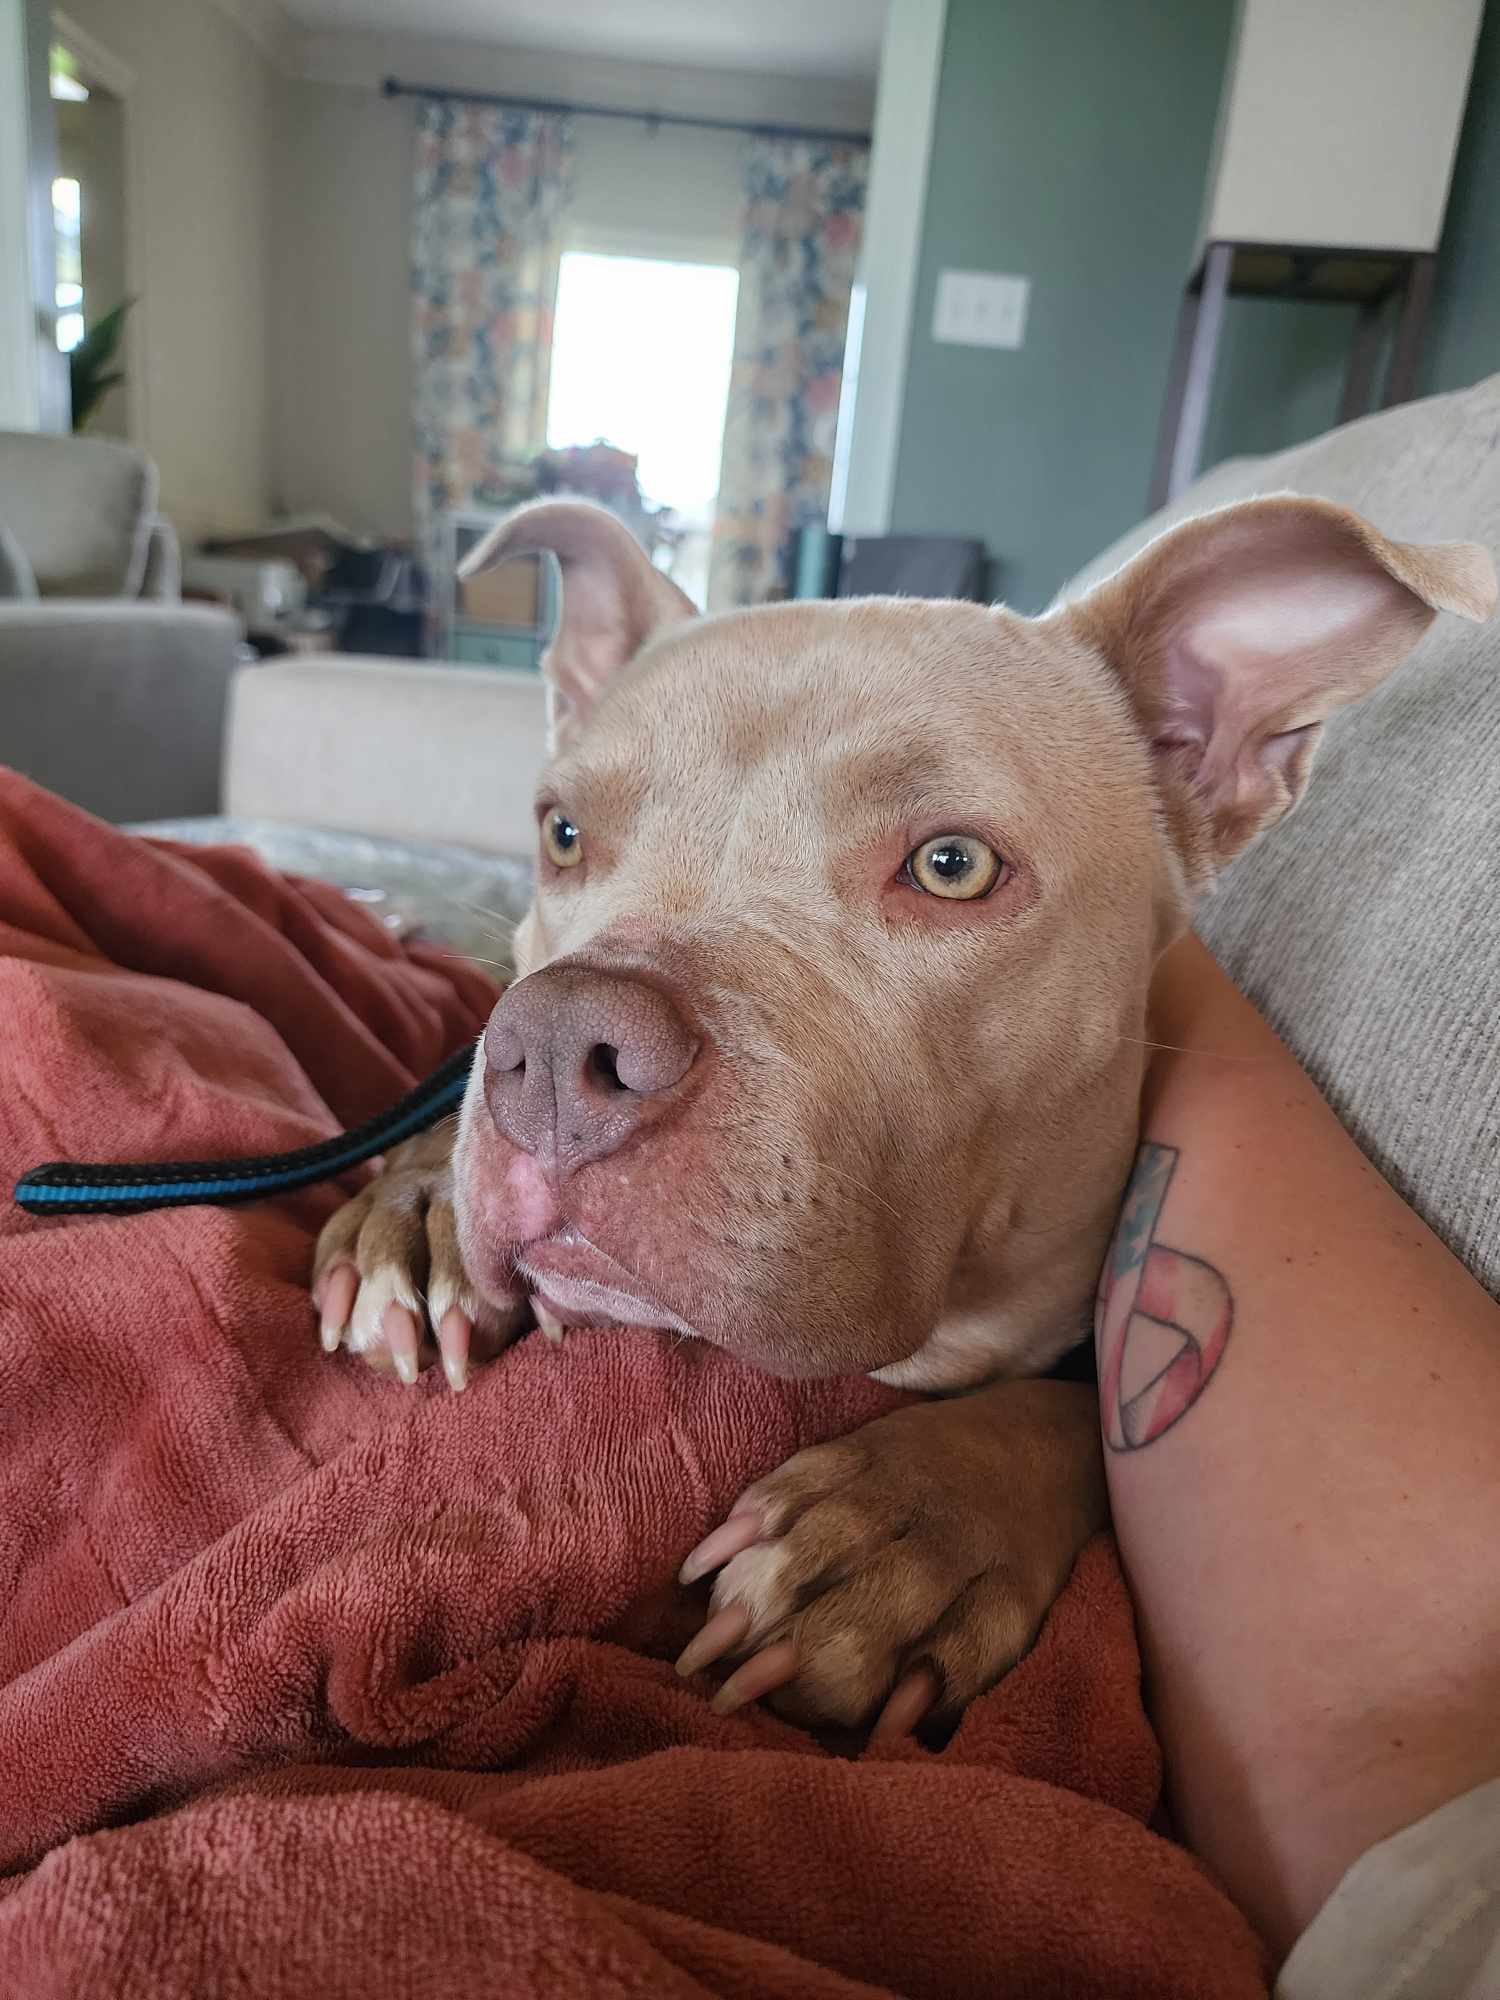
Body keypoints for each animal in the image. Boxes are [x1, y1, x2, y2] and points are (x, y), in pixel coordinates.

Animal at [312, 496, 1496, 1736]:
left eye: (951, 864)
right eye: (564, 832)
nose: (548, 1052)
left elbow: (1066, 1417)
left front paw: (910, 1527)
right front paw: (421, 1208)